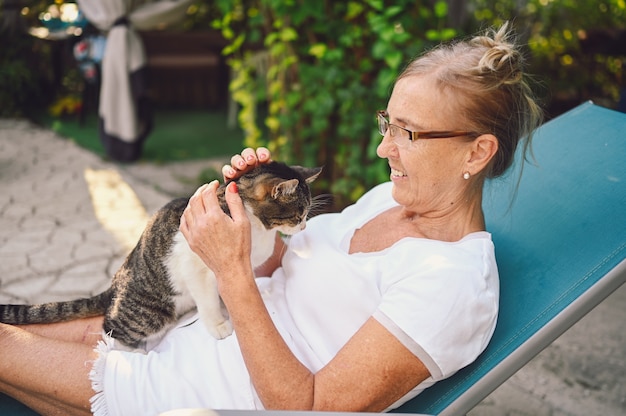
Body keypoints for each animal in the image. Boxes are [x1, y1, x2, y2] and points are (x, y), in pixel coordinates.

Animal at [0, 161, 322, 350]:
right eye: (298, 215)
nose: (304, 226)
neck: (255, 226)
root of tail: (115, 284)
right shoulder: (196, 268)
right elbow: (208, 300)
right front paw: (218, 324)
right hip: (151, 314)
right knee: (110, 328)